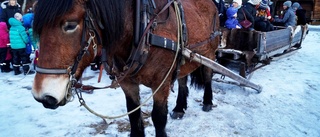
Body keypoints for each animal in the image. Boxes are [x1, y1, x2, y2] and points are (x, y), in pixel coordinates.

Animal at [31, 0, 220, 136]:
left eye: (70, 25)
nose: (43, 96)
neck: (143, 29)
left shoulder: (161, 83)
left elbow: (159, 118)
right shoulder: (128, 83)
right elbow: (134, 116)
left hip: (210, 54)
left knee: (208, 77)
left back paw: (207, 102)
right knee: (182, 80)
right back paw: (179, 108)